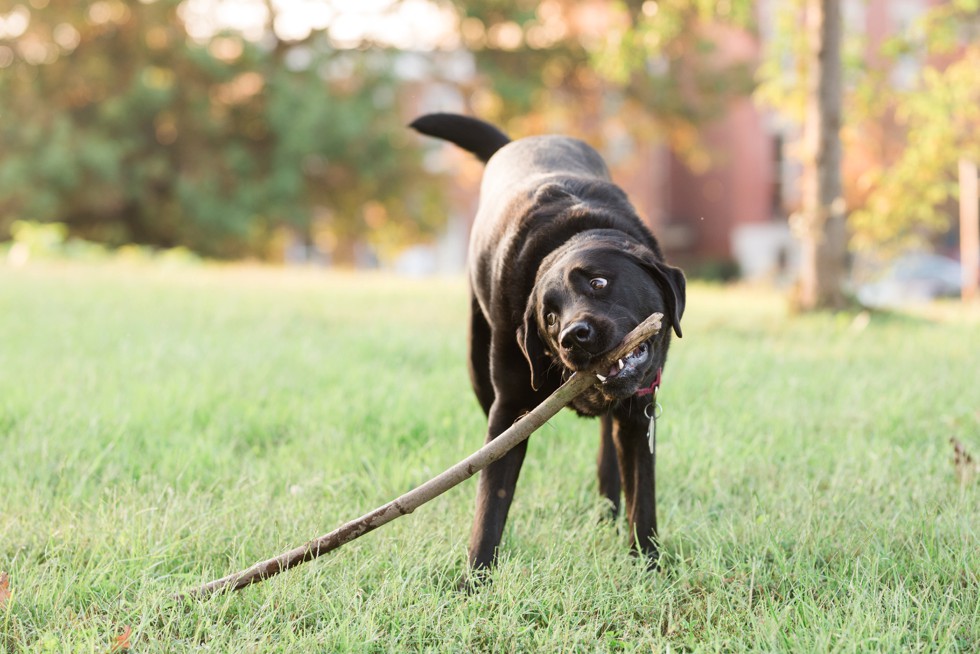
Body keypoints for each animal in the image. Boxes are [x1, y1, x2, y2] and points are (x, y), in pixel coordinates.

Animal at [410, 113, 684, 576]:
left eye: (599, 282)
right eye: (550, 317)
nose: (574, 336)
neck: (573, 233)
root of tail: (519, 141)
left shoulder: (639, 415)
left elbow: (642, 501)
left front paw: (647, 567)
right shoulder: (510, 410)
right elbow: (491, 500)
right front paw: (474, 579)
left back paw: (606, 510)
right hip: (477, 365)